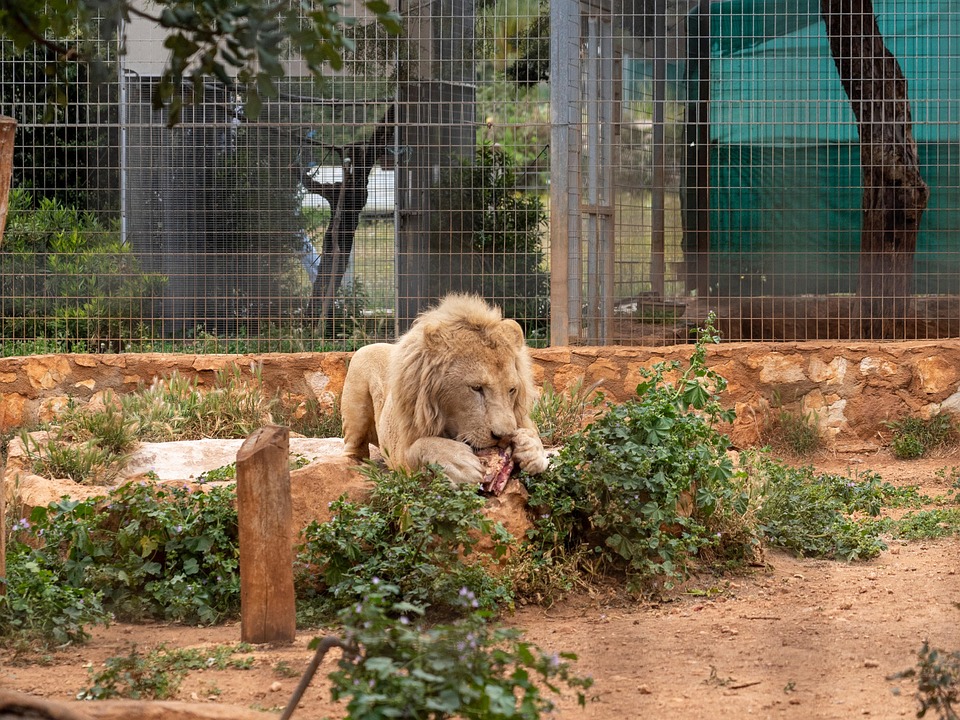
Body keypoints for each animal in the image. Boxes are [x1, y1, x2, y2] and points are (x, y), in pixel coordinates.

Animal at [340, 294, 549, 485]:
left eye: (512, 390)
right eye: (476, 388)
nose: (504, 436)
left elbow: (534, 435)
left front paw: (531, 449)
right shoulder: (399, 449)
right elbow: (419, 446)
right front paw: (458, 462)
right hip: (358, 384)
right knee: (353, 447)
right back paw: (357, 466)